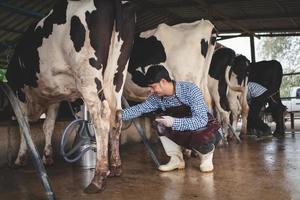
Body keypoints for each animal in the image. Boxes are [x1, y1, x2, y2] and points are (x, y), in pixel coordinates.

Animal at [6, 0, 135, 193]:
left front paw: (20, 159)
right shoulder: (54, 98)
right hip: (117, 75)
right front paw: (47, 156)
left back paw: (98, 178)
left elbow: (24, 126)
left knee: (101, 118)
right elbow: (48, 125)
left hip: (87, 76)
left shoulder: (19, 91)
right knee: (117, 116)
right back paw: (116, 167)